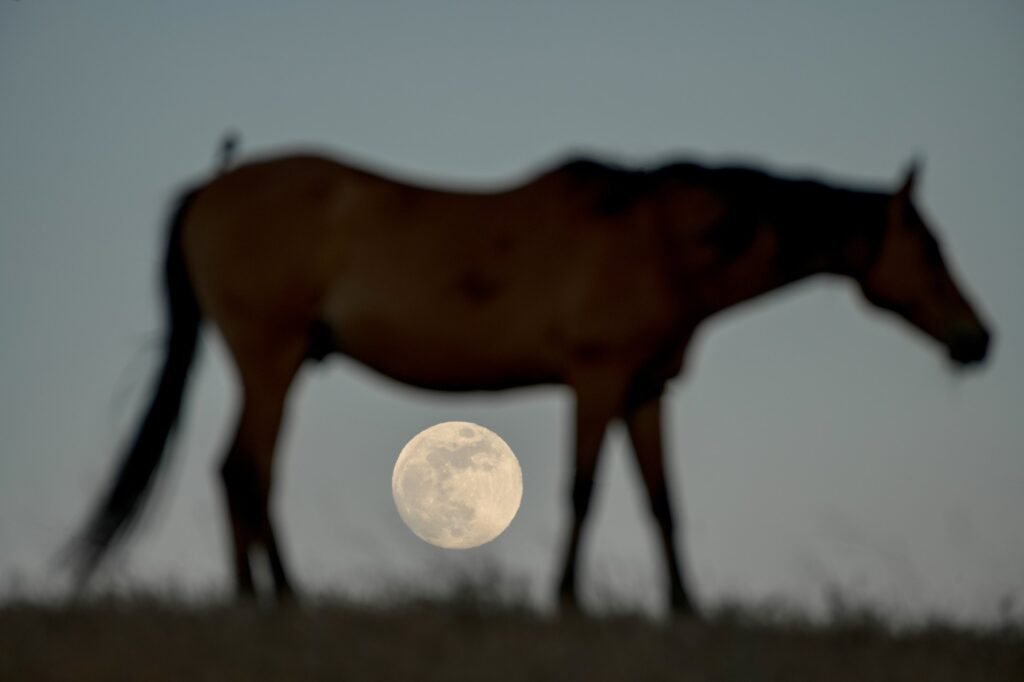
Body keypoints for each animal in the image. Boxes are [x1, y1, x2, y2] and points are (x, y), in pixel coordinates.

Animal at [67, 143, 992, 615]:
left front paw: (686, 608)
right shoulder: (597, 378)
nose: (978, 340)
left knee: (237, 472)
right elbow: (583, 491)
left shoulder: (646, 390)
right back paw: (282, 600)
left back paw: (259, 599)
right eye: (930, 246)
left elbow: (663, 503)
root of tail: (211, 184)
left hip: (273, 361)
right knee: (247, 471)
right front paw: (569, 600)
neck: (658, 238)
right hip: (272, 355)